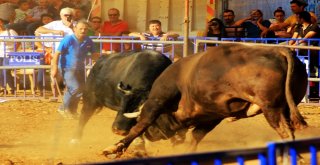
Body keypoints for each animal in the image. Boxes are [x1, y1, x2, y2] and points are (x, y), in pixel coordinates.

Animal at [102, 42, 308, 156]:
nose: (151, 137)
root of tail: (279, 51)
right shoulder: (212, 116)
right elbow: (196, 135)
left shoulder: (157, 100)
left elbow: (140, 125)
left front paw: (114, 148)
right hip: (284, 109)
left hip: (272, 109)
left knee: (285, 132)